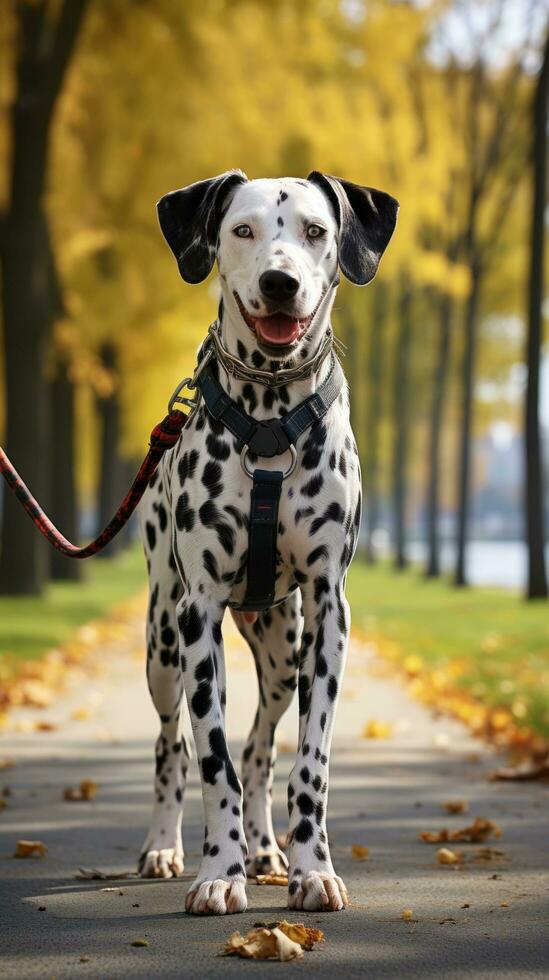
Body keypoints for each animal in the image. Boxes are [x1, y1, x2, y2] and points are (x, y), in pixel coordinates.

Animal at [139, 172, 396, 916]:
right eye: (242, 229)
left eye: (315, 230)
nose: (281, 282)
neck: (269, 416)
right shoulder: (197, 618)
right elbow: (211, 760)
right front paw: (217, 873)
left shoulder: (328, 611)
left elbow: (307, 763)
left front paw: (312, 868)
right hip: (162, 647)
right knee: (171, 747)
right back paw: (165, 847)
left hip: (283, 652)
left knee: (259, 750)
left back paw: (264, 850)